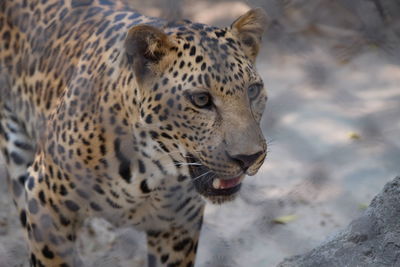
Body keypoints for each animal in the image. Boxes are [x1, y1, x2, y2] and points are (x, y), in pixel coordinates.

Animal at [0, 1, 268, 266]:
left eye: (253, 91)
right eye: (201, 99)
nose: (249, 158)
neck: (152, 170)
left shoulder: (177, 227)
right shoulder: (44, 199)